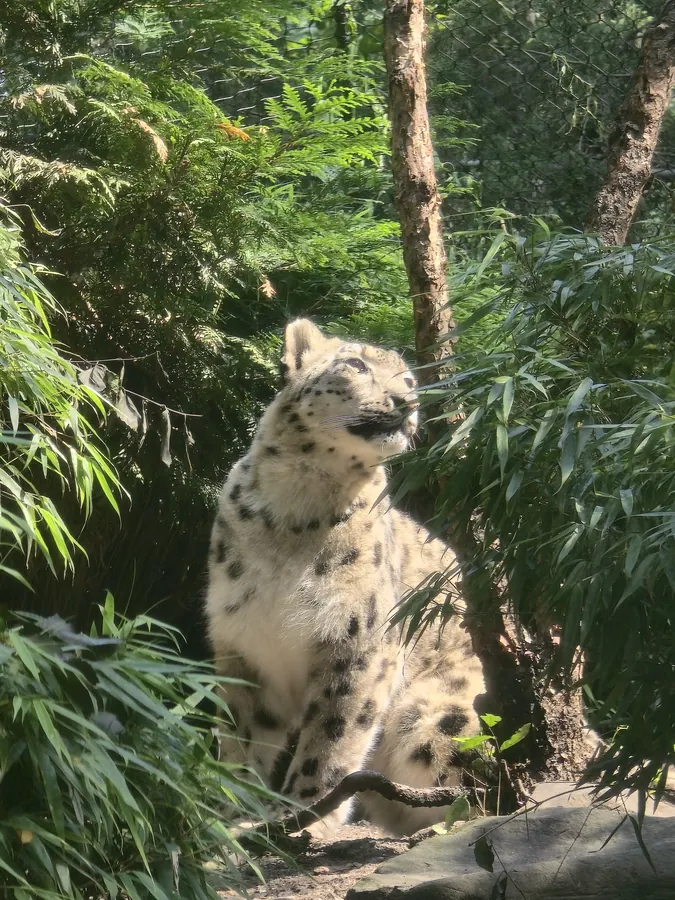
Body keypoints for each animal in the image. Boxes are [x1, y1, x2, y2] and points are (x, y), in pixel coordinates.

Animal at [204, 318, 486, 836]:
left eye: (410, 378)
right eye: (355, 365)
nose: (406, 401)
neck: (296, 506)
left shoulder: (357, 642)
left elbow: (333, 734)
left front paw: (304, 815)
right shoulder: (244, 642)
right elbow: (243, 734)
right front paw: (232, 812)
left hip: (437, 711)